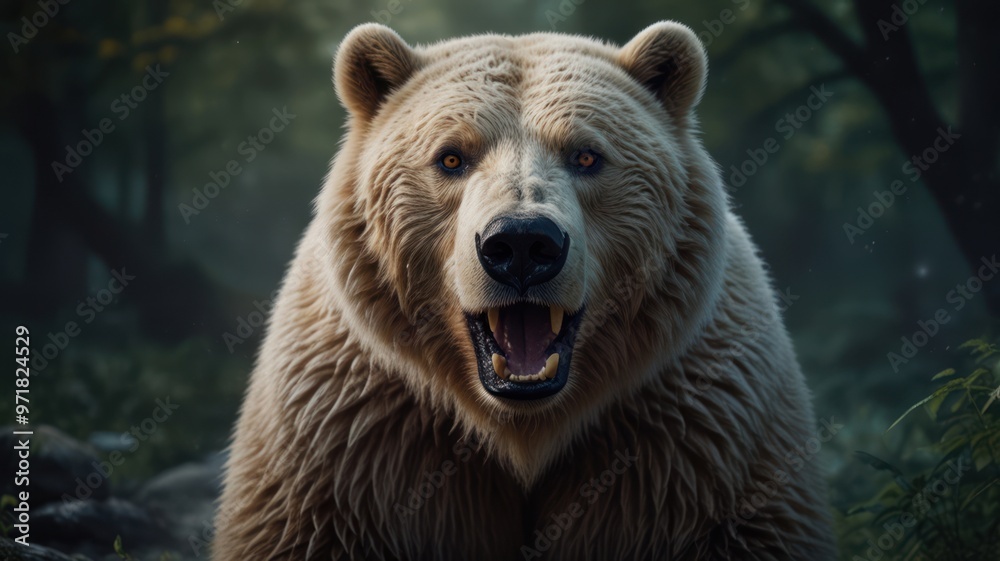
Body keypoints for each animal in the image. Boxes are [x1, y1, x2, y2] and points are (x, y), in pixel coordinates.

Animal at [212, 21, 836, 560]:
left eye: (586, 154)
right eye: (451, 156)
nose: (521, 245)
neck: (523, 429)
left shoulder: (695, 438)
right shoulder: (351, 443)